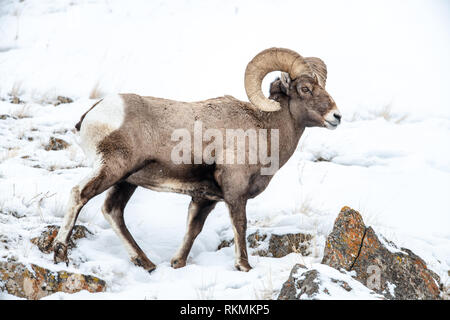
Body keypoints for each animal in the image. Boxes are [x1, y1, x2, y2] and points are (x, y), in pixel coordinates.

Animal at [52, 48, 342, 272]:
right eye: (305, 88)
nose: (336, 116)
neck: (264, 128)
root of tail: (92, 114)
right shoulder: (235, 193)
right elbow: (240, 226)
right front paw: (244, 266)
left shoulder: (204, 199)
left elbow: (193, 230)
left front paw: (177, 263)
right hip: (112, 169)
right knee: (80, 194)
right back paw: (60, 252)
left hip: (126, 181)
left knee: (112, 211)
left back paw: (146, 263)